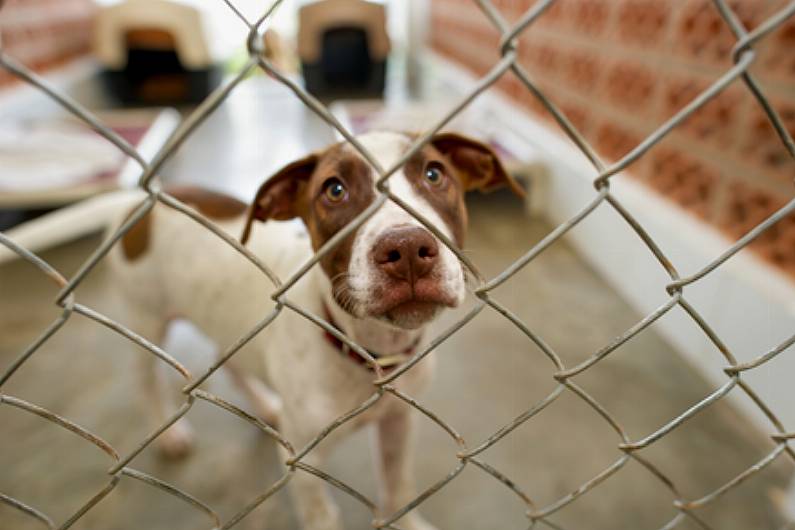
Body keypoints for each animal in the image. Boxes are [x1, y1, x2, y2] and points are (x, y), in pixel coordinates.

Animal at [110, 129, 524, 528]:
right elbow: (322, 516)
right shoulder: (304, 466)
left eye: (434, 174)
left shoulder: (398, 422)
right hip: (146, 319)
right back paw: (170, 434)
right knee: (145, 381)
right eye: (334, 190)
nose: (406, 248)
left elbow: (399, 486)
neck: (368, 352)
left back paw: (265, 405)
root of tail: (142, 202)